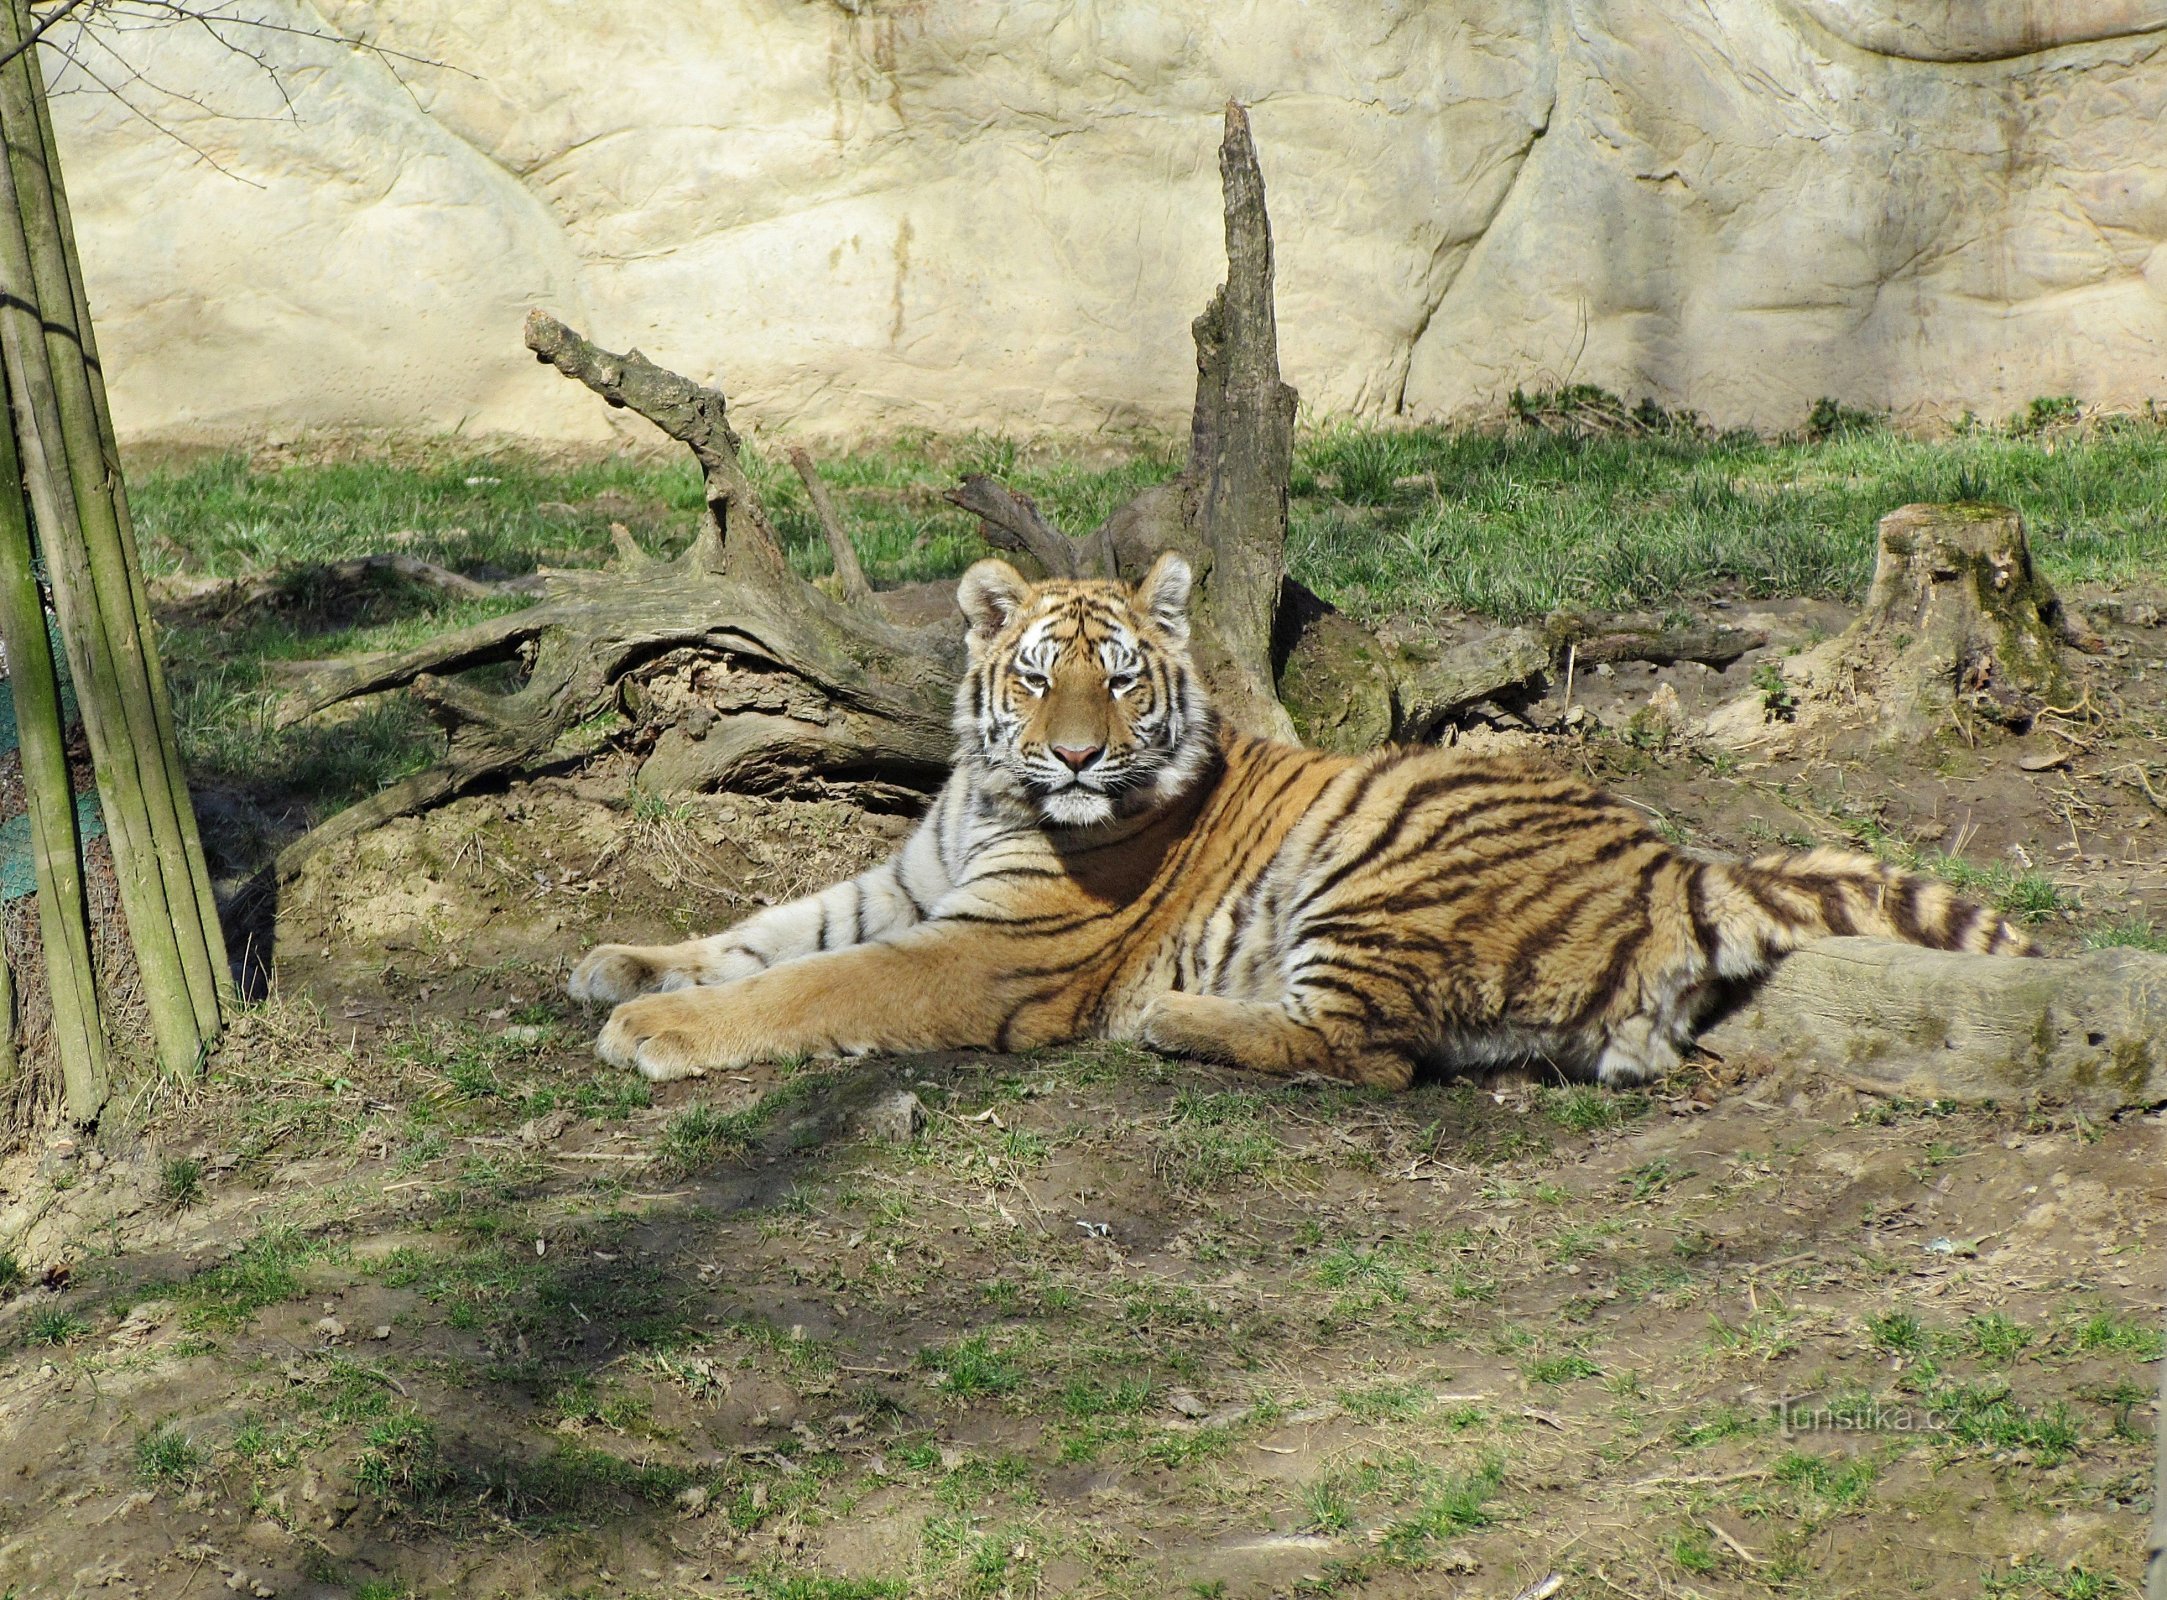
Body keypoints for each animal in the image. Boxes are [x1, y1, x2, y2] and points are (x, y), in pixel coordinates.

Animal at [563, 548, 2028, 1084]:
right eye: (1035, 675)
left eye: (1120, 677)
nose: (1077, 755)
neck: (991, 793)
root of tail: (1671, 862)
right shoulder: (911, 885)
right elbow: (769, 931)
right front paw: (617, 966)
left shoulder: (985, 950)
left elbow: (812, 984)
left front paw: (655, 1030)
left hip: (1369, 880)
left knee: (1363, 1053)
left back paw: (1172, 1021)